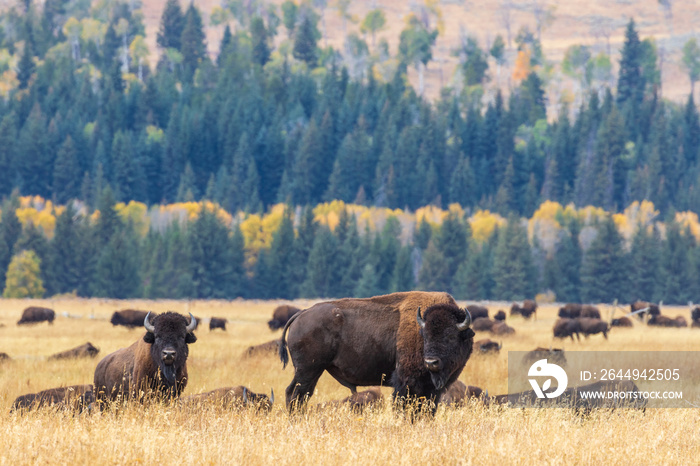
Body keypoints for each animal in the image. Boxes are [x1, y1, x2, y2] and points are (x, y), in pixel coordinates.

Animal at [278, 294, 476, 414]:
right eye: (425, 335)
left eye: (451, 336)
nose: (431, 362)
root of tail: (301, 314)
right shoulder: (406, 383)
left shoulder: (432, 389)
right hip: (308, 370)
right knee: (294, 394)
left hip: (312, 372)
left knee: (301, 395)